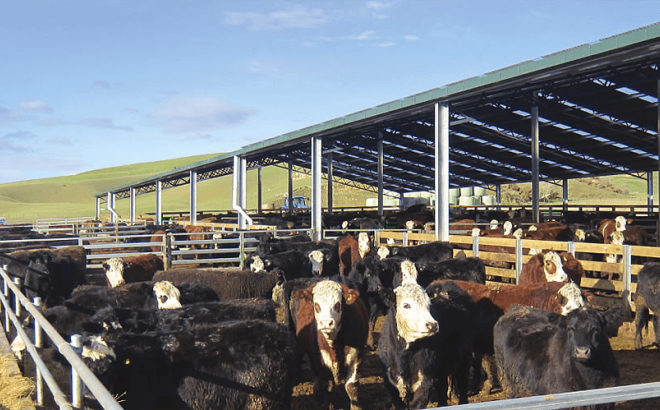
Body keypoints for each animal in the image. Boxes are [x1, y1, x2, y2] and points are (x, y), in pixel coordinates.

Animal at [296, 280, 368, 408]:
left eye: (337, 304)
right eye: (316, 304)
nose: (326, 323)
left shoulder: (356, 357)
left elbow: (352, 386)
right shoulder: (320, 362)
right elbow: (327, 387)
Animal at [492, 304, 620, 404]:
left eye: (596, 329)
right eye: (570, 328)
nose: (582, 351)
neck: (590, 379)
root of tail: (518, 308)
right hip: (507, 381)